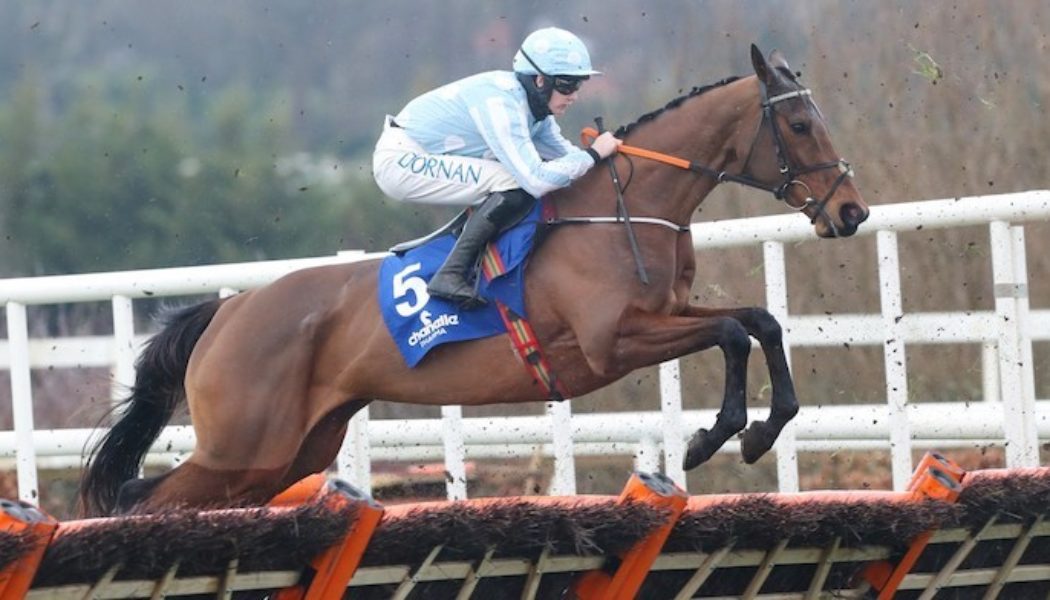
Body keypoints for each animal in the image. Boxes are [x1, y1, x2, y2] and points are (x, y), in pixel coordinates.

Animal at [79, 45, 868, 516]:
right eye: (800, 125)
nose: (851, 212)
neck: (621, 210)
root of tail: (229, 310)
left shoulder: (665, 316)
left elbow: (758, 321)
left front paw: (762, 430)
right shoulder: (613, 342)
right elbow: (733, 330)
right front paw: (715, 438)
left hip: (287, 453)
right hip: (243, 447)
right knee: (146, 497)